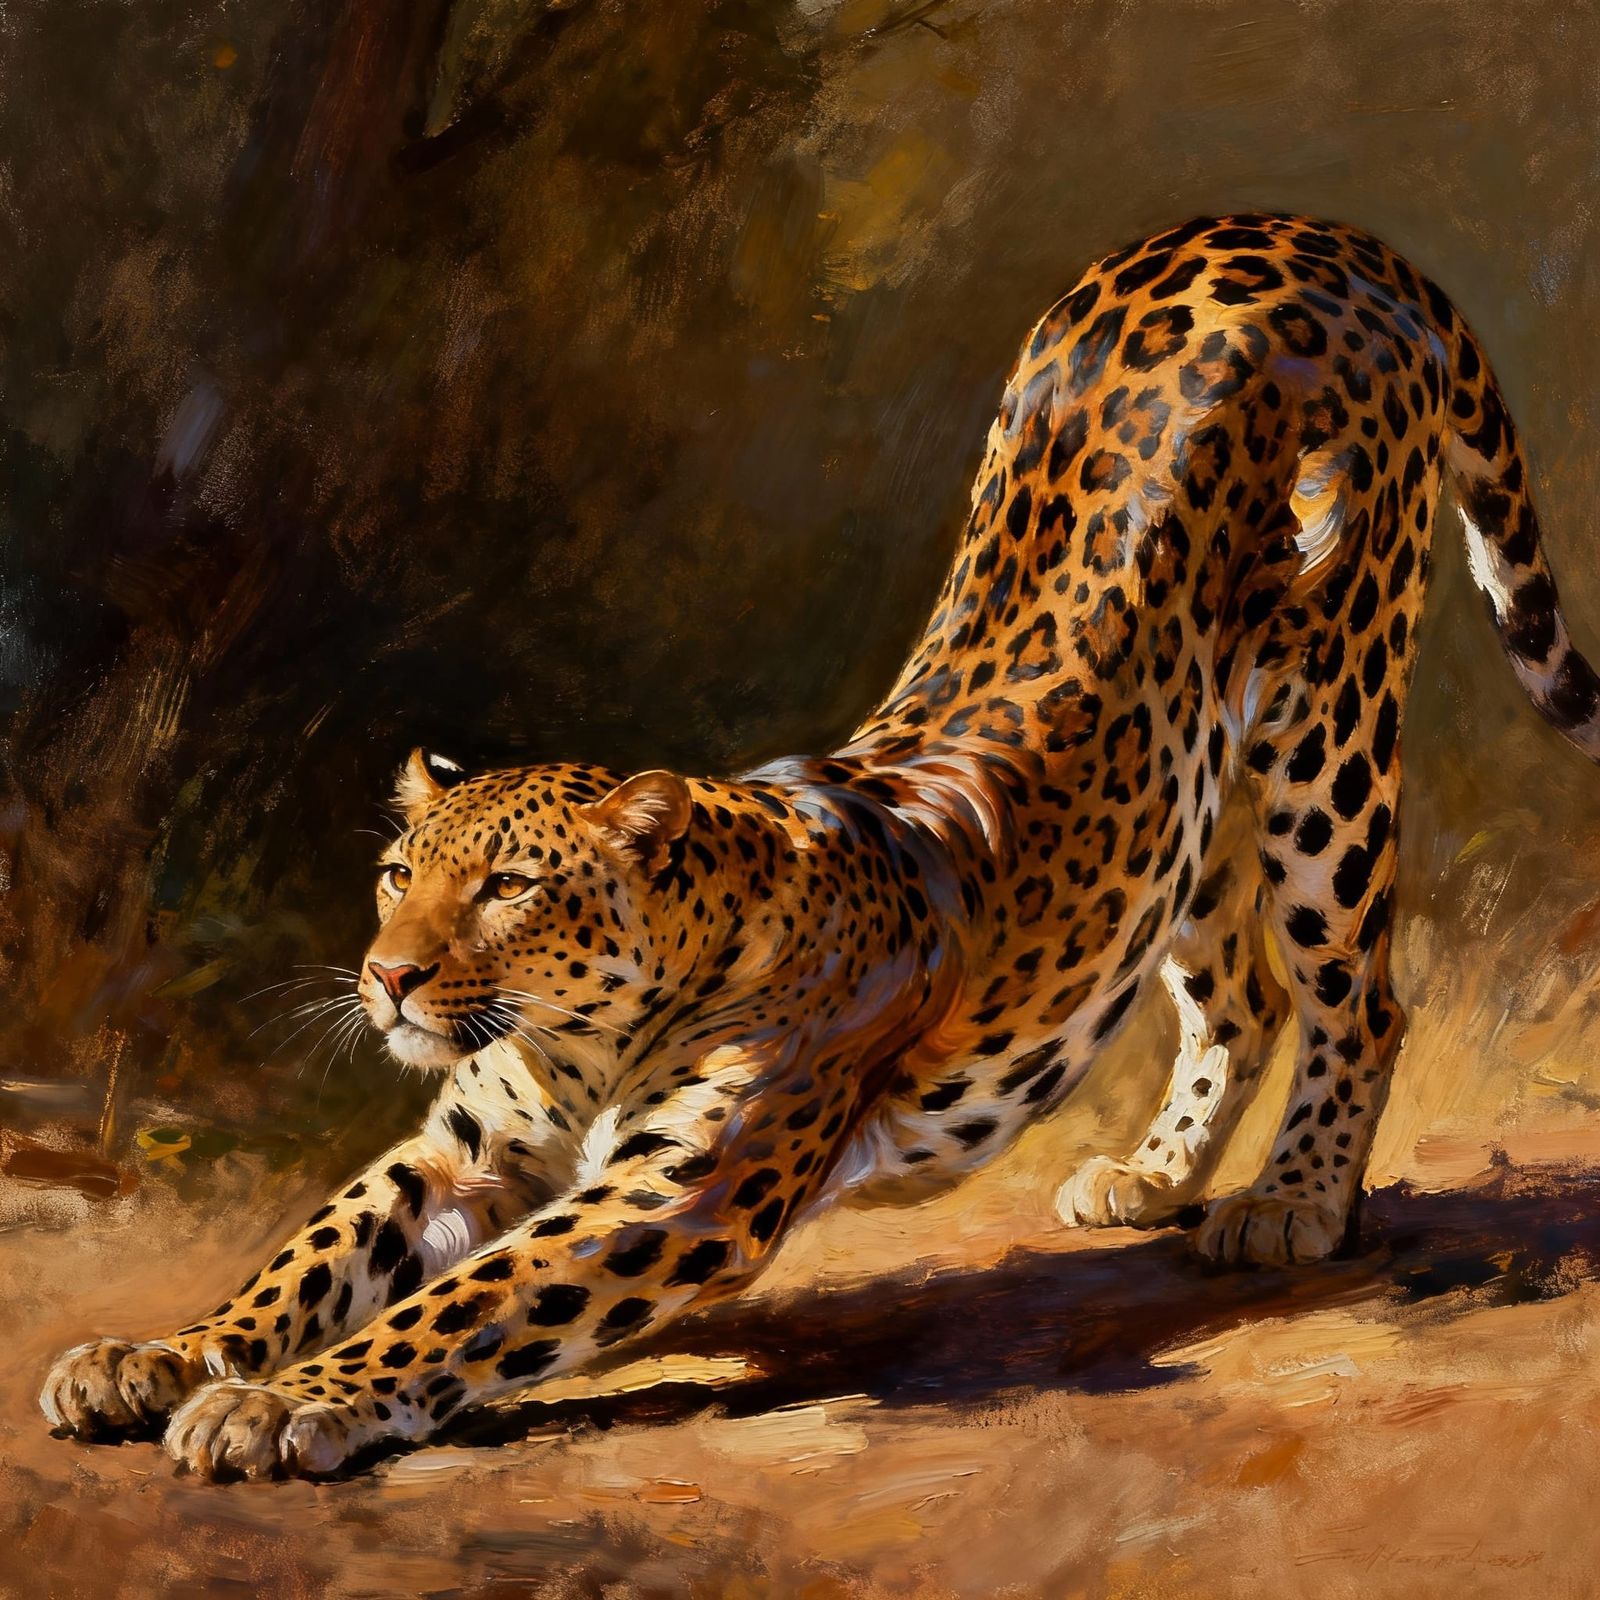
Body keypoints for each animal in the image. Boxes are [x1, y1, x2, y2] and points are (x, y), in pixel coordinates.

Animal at [42, 214, 1600, 1480]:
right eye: (394, 876)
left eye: (509, 886)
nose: (387, 978)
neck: (574, 1039)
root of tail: (1309, 232)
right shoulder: (463, 1148)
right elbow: (311, 1255)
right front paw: (159, 1357)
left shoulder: (678, 1189)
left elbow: (464, 1305)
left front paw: (280, 1405)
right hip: (1184, 794)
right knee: (1239, 988)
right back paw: (1153, 1179)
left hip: (1327, 728)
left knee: (1355, 992)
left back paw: (1292, 1204)